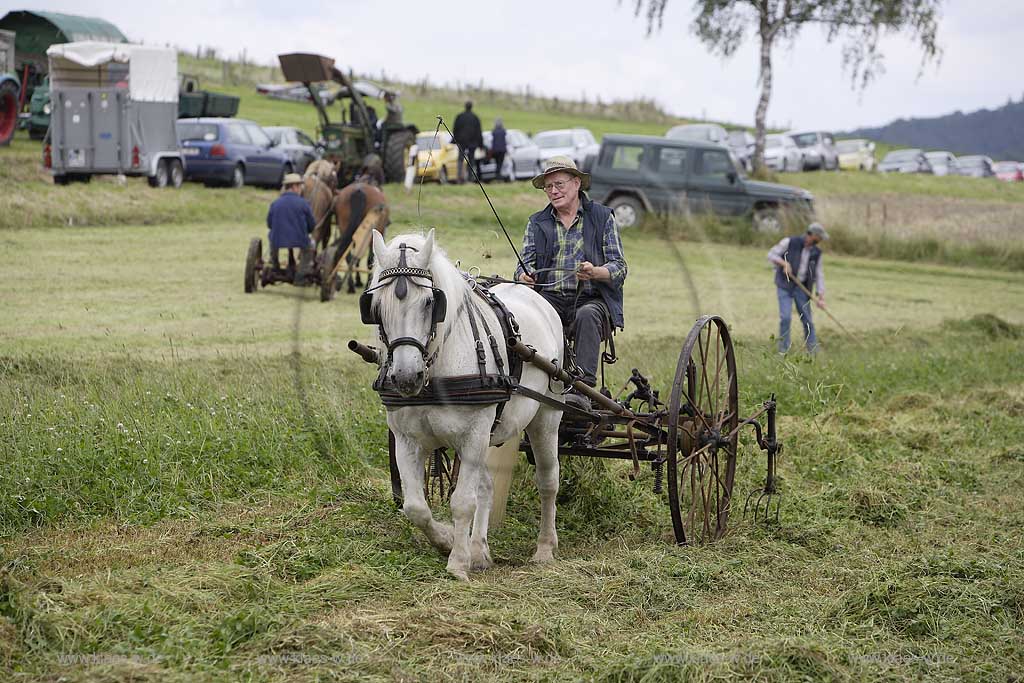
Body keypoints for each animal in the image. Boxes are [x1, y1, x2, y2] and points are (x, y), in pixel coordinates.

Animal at [366, 231, 565, 581]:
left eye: (430, 302)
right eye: (376, 306)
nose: (406, 376)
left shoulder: (472, 438)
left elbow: (462, 502)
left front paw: (457, 563)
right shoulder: (407, 440)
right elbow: (415, 506)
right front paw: (447, 541)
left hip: (546, 416)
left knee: (547, 481)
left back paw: (543, 548)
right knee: (486, 486)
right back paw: (479, 549)